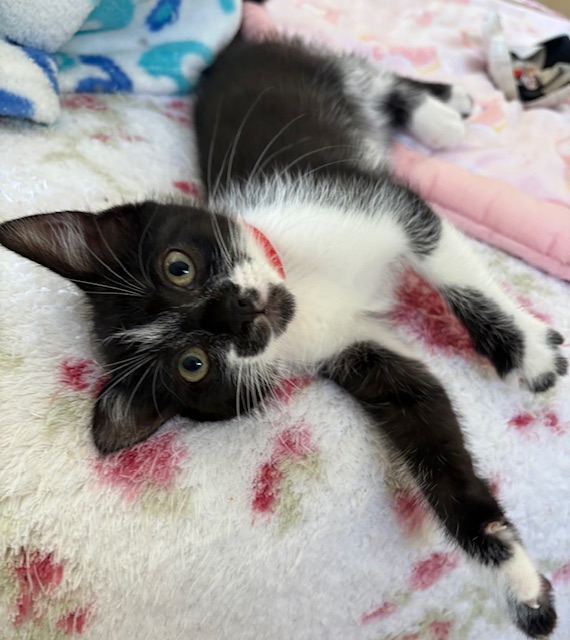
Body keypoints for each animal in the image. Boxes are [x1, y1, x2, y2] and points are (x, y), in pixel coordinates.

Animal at [0, 34, 567, 638]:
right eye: (193, 365)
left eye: (178, 267)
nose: (238, 314)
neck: (300, 286)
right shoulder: (357, 347)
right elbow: (427, 426)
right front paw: (517, 581)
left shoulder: (371, 203)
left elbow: (450, 265)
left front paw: (528, 354)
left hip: (314, 73)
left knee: (374, 80)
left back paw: (444, 110)